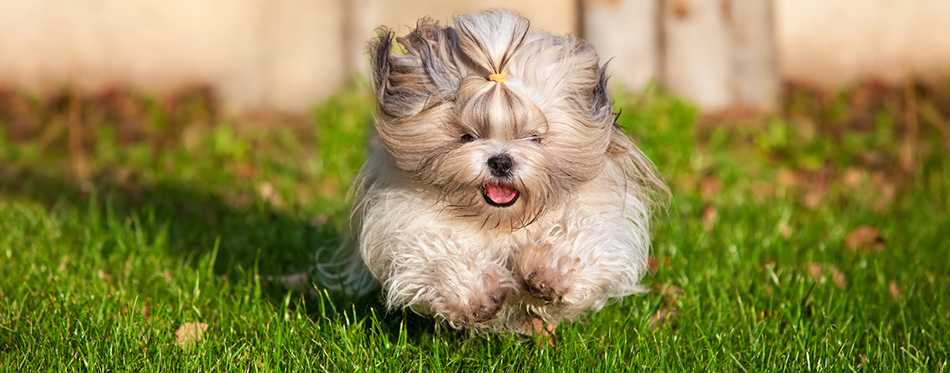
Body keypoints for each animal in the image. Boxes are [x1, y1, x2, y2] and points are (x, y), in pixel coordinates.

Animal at [328, 9, 668, 334]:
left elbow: (581, 233)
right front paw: (476, 298)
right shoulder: (401, 219)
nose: (501, 161)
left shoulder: (601, 213)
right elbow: (437, 250)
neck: (502, 222)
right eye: (467, 136)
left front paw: (550, 274)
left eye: (534, 137)